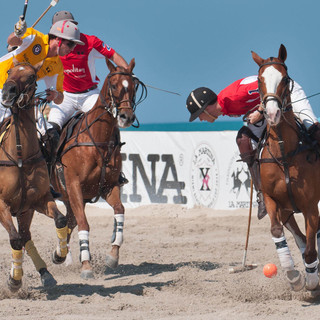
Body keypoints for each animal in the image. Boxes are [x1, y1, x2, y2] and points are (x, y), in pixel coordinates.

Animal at [0, 61, 69, 292]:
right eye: (9, 72)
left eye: (31, 76)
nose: (8, 91)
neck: (20, 154)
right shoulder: (1, 204)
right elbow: (14, 239)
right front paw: (14, 280)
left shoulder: (35, 201)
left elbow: (60, 220)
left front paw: (59, 255)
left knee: (26, 236)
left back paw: (45, 273)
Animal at [52, 58, 145, 278]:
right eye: (114, 85)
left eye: (134, 86)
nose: (126, 117)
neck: (97, 140)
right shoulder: (74, 186)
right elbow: (84, 223)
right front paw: (86, 266)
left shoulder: (108, 186)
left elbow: (120, 211)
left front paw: (112, 256)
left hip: (69, 199)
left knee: (68, 222)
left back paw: (60, 254)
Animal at [251, 43, 320, 292]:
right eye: (259, 79)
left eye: (285, 78)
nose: (272, 114)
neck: (283, 152)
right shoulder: (273, 200)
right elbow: (278, 232)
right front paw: (294, 276)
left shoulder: (310, 206)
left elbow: (310, 249)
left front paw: (311, 282)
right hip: (287, 210)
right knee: (299, 238)